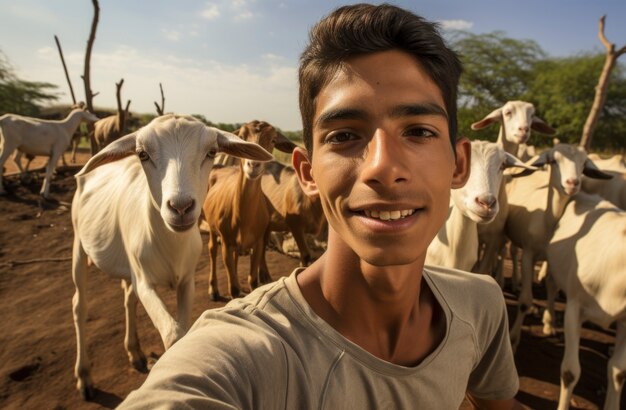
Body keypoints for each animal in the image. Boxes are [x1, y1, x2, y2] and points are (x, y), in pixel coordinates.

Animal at [70, 113, 270, 398]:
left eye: (211, 152)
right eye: (142, 154)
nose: (181, 207)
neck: (171, 245)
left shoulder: (186, 281)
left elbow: (182, 328)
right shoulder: (145, 283)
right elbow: (173, 334)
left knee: (128, 299)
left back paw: (135, 353)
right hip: (79, 242)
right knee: (79, 305)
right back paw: (84, 377)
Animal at [201, 120, 296, 300]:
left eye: (273, 140)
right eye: (241, 136)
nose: (253, 165)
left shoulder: (258, 243)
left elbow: (253, 281)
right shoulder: (226, 242)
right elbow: (233, 289)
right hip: (212, 228)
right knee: (212, 249)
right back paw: (213, 291)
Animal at [502, 143, 608, 350]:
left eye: (584, 164)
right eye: (554, 161)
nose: (572, 183)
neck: (548, 220)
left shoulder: (553, 259)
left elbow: (552, 286)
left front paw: (549, 323)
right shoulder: (529, 253)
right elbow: (524, 301)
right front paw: (513, 338)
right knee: (510, 252)